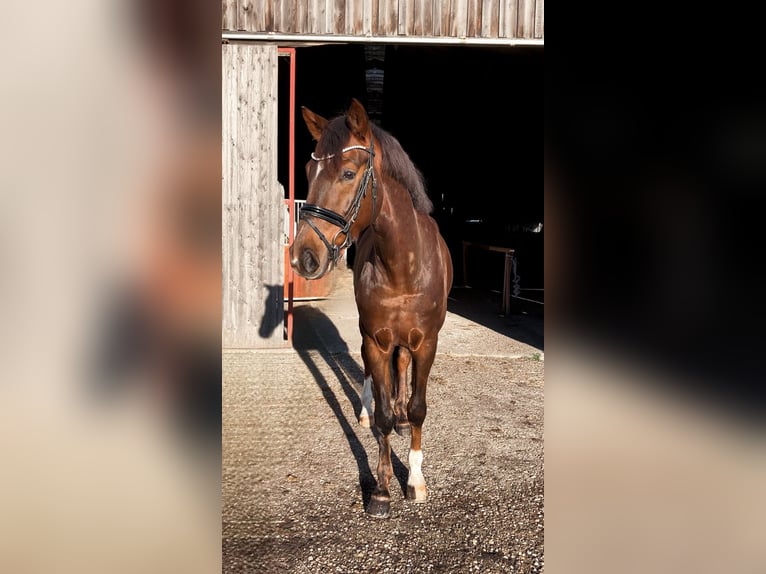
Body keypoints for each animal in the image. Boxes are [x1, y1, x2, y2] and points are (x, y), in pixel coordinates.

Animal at [289, 98, 453, 518]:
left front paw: (415, 481)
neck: (403, 266)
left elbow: (417, 408)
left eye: (348, 173)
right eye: (309, 171)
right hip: (368, 336)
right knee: (369, 376)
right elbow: (381, 414)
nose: (303, 257)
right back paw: (366, 410)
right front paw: (381, 490)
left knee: (401, 369)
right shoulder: (376, 339)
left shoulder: (427, 343)